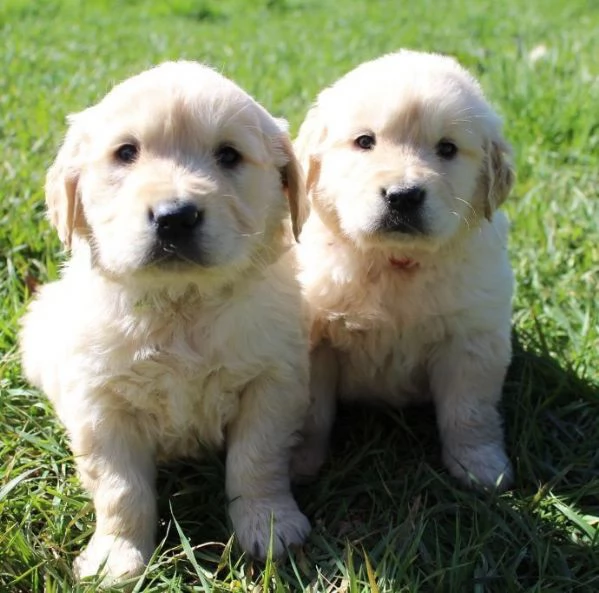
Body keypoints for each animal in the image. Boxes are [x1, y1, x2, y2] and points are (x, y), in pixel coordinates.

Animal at [18, 61, 312, 584]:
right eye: (126, 153)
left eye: (228, 155)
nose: (176, 217)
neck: (181, 306)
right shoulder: (101, 405)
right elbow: (119, 488)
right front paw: (116, 556)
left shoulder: (273, 382)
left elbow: (257, 462)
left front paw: (269, 525)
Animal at [294, 49, 516, 490]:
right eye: (365, 141)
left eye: (447, 148)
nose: (403, 196)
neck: (393, 262)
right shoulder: (315, 339)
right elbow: (311, 411)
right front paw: (298, 464)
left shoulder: (471, 339)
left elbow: (469, 412)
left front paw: (480, 467)